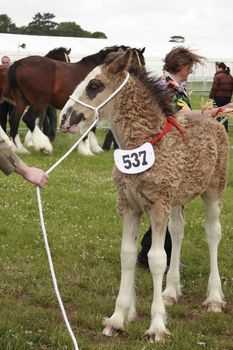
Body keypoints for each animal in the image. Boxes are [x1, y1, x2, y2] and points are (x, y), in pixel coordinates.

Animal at [7, 44, 145, 153]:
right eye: (133, 61)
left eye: (143, 62)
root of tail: (19, 63)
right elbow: (88, 128)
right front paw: (86, 150)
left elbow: (91, 128)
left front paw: (94, 148)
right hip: (39, 101)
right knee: (28, 118)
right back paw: (43, 145)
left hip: (22, 101)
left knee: (14, 120)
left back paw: (18, 148)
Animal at [59, 50, 228, 344]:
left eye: (95, 85)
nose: (65, 119)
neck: (147, 140)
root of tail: (214, 119)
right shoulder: (129, 206)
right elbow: (128, 254)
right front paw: (117, 320)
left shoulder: (158, 207)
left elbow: (156, 259)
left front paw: (157, 326)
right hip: (176, 201)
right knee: (178, 231)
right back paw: (170, 292)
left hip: (213, 191)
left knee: (212, 233)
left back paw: (215, 298)